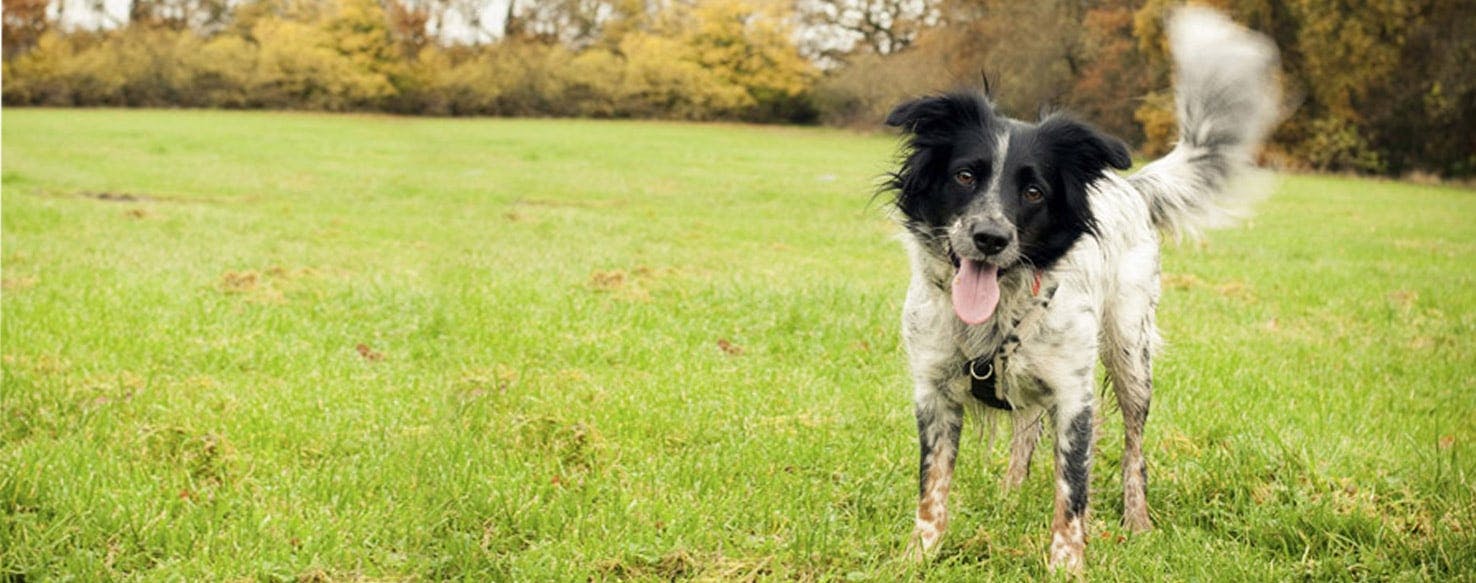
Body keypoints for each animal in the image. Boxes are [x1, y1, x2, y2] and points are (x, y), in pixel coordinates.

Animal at [885, 6, 1281, 572]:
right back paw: (1009, 497)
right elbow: (932, 487)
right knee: (1027, 427)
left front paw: (1067, 565)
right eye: (964, 176)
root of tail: (1129, 186)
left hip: (1130, 356)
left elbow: (1071, 493)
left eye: (1033, 191)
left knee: (1134, 448)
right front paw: (919, 555)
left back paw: (1137, 522)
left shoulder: (1076, 398)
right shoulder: (933, 392)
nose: (990, 238)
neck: (998, 317)